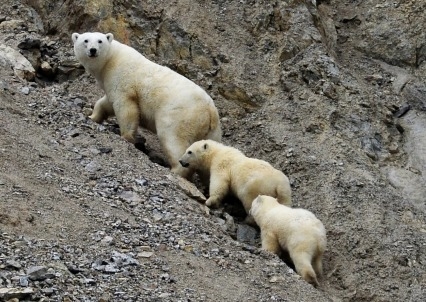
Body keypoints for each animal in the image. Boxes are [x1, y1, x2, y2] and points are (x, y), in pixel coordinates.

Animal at [71, 31, 221, 177]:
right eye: (85, 40)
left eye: (100, 41)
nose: (93, 50)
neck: (111, 60)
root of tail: (210, 109)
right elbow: (106, 103)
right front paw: (92, 116)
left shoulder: (122, 78)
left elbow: (125, 106)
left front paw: (126, 136)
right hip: (212, 131)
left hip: (180, 115)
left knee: (172, 139)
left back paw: (176, 170)